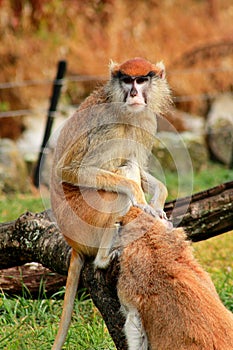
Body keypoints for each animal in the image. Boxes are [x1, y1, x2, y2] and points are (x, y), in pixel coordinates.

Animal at [50, 56, 171, 348]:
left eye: (142, 79)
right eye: (127, 80)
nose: (134, 94)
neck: (124, 110)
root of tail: (72, 242)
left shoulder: (145, 123)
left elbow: (137, 164)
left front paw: (158, 203)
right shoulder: (106, 125)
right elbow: (70, 170)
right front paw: (140, 200)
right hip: (82, 219)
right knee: (117, 189)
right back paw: (104, 258)